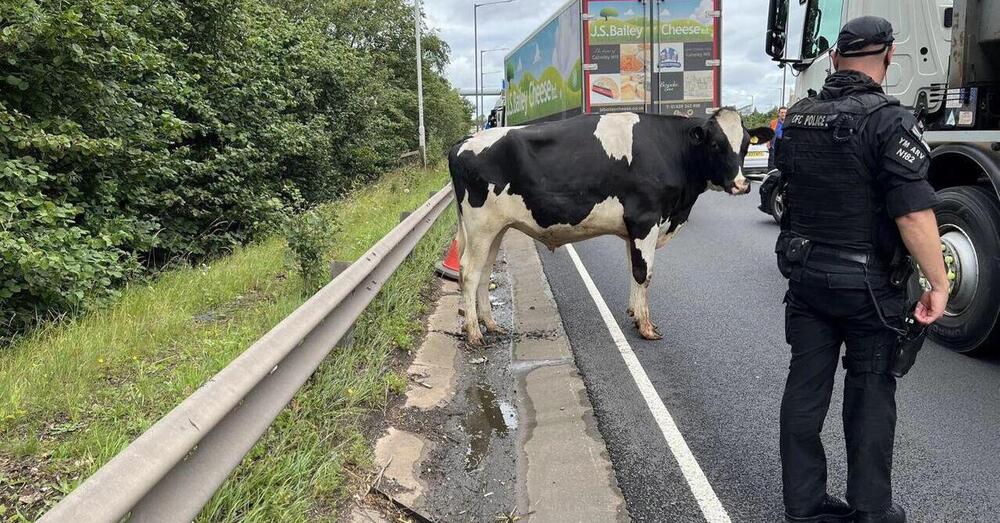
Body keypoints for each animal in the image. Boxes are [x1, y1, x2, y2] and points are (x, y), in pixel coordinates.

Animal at [450, 109, 776, 348]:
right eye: (716, 144)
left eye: (745, 145)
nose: (742, 184)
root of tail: (463, 142)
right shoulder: (645, 219)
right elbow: (644, 273)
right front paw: (646, 327)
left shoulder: (634, 228)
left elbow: (634, 270)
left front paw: (634, 314)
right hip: (481, 226)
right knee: (469, 272)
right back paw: (474, 333)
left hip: (495, 229)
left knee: (484, 273)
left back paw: (491, 324)